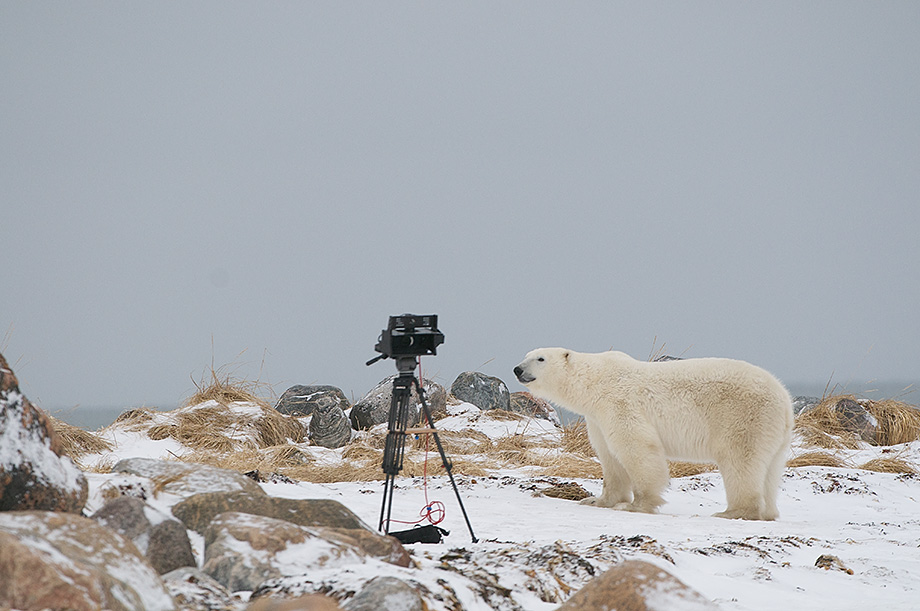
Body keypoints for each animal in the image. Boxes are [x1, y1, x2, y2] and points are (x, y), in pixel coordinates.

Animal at [512, 350, 796, 520]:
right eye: (527, 355)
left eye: (540, 359)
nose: (517, 369)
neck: (596, 381)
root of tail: (784, 399)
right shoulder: (597, 418)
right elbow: (609, 458)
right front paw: (597, 501)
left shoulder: (620, 403)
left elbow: (636, 448)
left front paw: (636, 505)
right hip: (774, 433)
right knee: (770, 469)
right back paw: (768, 512)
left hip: (743, 417)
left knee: (740, 461)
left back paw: (733, 511)